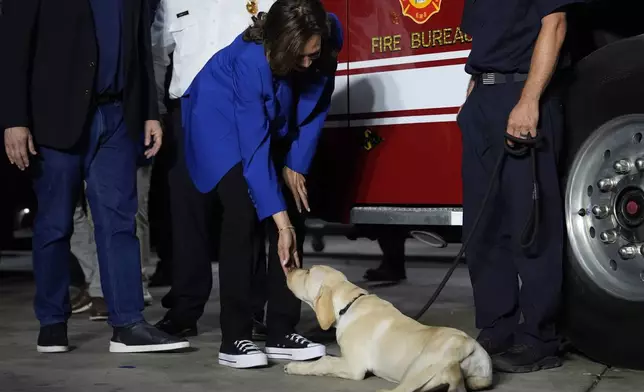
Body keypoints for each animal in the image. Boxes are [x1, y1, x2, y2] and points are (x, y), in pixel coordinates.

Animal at [286, 264, 494, 390]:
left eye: (307, 272)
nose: (290, 267)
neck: (350, 304)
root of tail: (468, 344)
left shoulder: (354, 367)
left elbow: (324, 361)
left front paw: (296, 366)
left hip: (418, 367)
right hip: (474, 379)